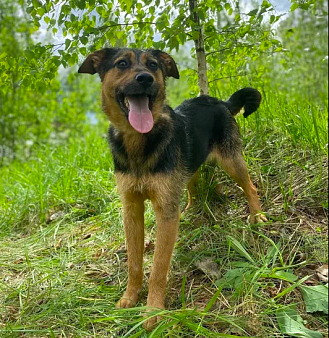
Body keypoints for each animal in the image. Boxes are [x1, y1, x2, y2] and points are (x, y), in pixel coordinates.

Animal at [77, 48, 266, 330]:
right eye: (121, 63)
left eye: (154, 65)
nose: (145, 79)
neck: (139, 142)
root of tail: (220, 102)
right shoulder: (131, 208)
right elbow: (134, 262)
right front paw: (130, 297)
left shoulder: (163, 211)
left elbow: (158, 267)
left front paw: (153, 311)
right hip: (189, 167)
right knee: (192, 186)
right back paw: (188, 210)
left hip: (232, 161)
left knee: (250, 186)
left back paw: (257, 215)